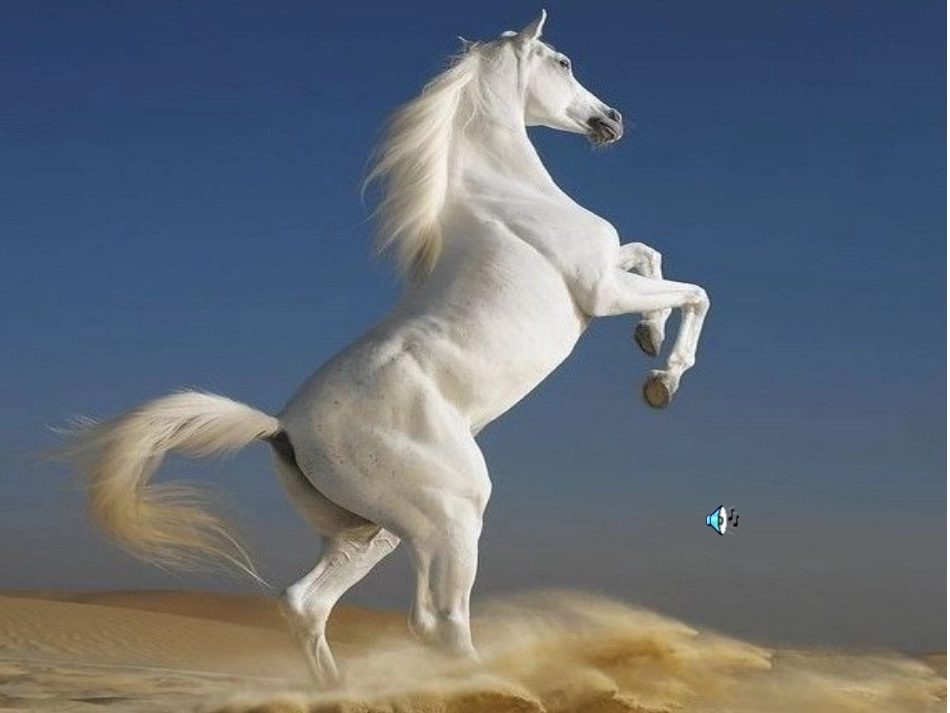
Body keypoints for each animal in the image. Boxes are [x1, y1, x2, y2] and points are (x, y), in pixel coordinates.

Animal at [62, 11, 709, 684]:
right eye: (562, 61)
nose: (611, 119)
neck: (509, 198)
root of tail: (282, 427)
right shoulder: (600, 291)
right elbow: (694, 291)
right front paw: (662, 379)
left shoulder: (611, 274)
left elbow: (649, 255)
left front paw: (648, 338)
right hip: (452, 514)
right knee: (436, 621)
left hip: (374, 531)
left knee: (307, 603)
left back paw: (340, 687)